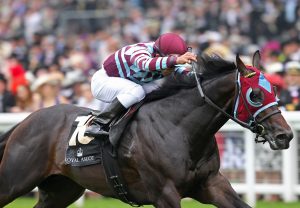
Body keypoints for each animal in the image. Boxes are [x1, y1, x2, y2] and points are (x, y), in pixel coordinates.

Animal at [0, 52, 292, 207]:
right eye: (255, 95)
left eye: (275, 90)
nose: (285, 135)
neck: (181, 129)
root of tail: (25, 122)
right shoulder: (164, 193)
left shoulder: (211, 184)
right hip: (15, 180)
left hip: (62, 188)